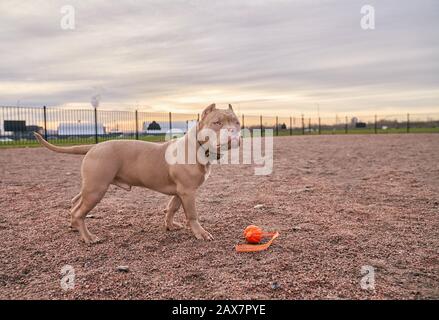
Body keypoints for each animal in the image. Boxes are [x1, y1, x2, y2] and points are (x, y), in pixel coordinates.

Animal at [34, 104, 241, 244]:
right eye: (217, 123)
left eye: (237, 123)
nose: (233, 132)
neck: (197, 146)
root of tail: (94, 146)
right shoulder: (188, 192)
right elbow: (192, 215)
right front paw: (200, 233)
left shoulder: (180, 192)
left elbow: (172, 208)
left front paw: (170, 225)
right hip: (96, 189)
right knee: (79, 211)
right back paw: (88, 237)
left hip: (90, 186)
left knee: (75, 202)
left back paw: (74, 226)